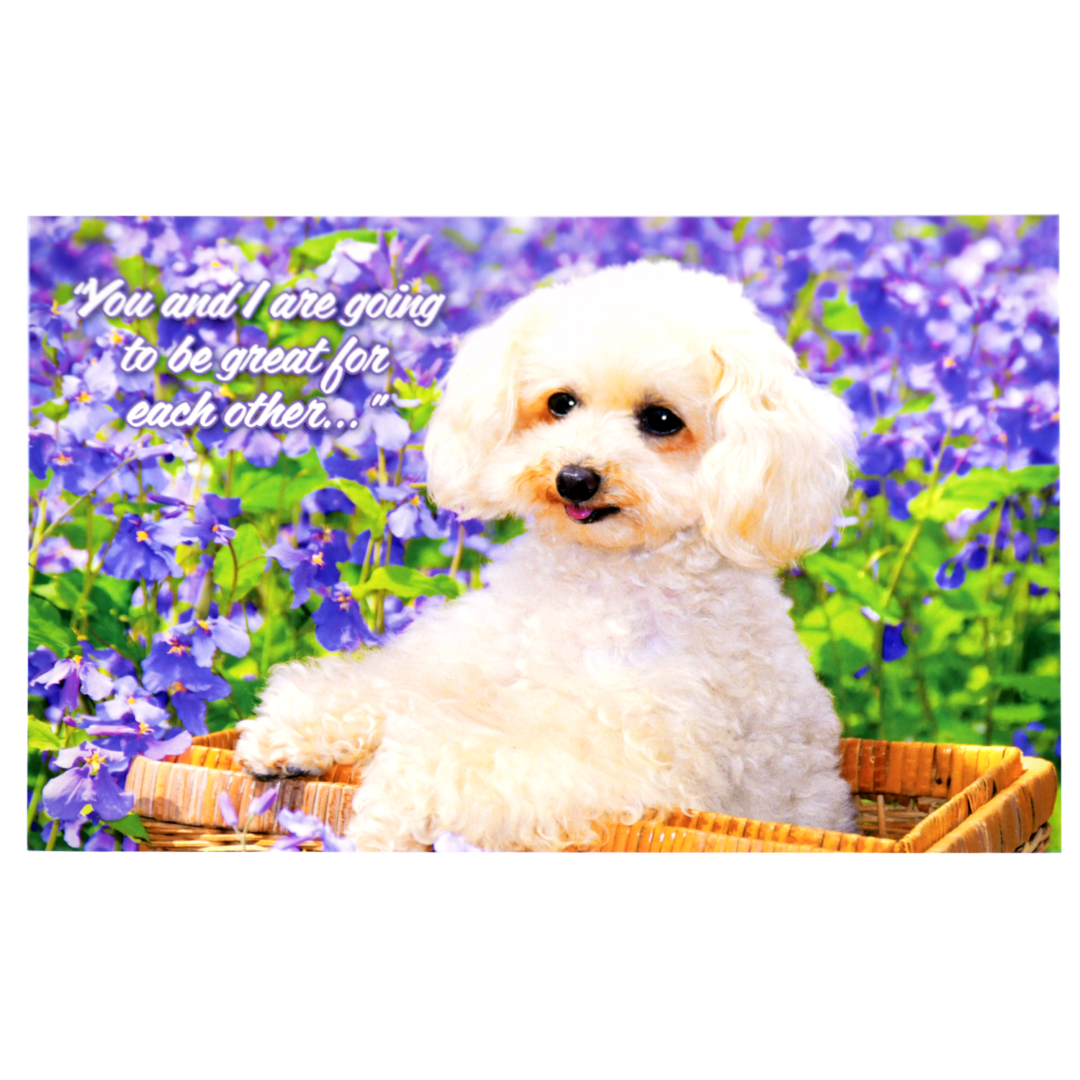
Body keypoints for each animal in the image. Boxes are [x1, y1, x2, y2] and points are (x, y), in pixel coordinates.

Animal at [234, 259, 859, 842]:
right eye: (562, 403)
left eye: (661, 419)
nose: (575, 479)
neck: (598, 583)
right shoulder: (468, 670)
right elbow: (388, 684)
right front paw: (286, 730)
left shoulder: (628, 760)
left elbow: (455, 763)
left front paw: (387, 809)